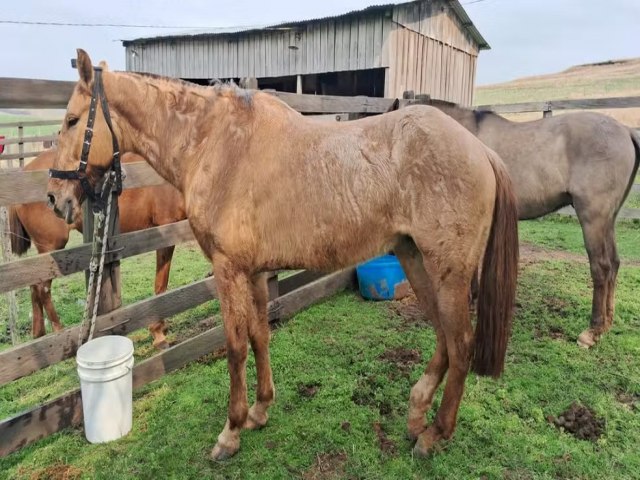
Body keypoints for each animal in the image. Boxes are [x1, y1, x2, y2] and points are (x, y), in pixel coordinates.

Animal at [9, 148, 185, 346]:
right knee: (42, 289)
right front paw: (158, 333)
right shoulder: (166, 230)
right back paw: (58, 331)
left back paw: (38, 334)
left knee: (34, 286)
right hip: (51, 247)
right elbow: (161, 284)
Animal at [46, 50, 520, 460]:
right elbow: (260, 336)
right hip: (416, 260)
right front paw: (260, 410)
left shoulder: (228, 271)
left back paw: (435, 433)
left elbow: (236, 346)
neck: (214, 144)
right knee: (443, 339)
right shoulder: (254, 273)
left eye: (71, 120)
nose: (55, 197)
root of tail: (481, 150)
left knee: (460, 344)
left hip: (447, 271)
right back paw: (417, 415)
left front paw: (231, 431)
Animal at [424, 100, 640, 348]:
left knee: (601, 267)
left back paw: (592, 331)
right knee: (614, 264)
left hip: (593, 218)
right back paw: (606, 324)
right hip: (608, 220)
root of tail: (626, 130)